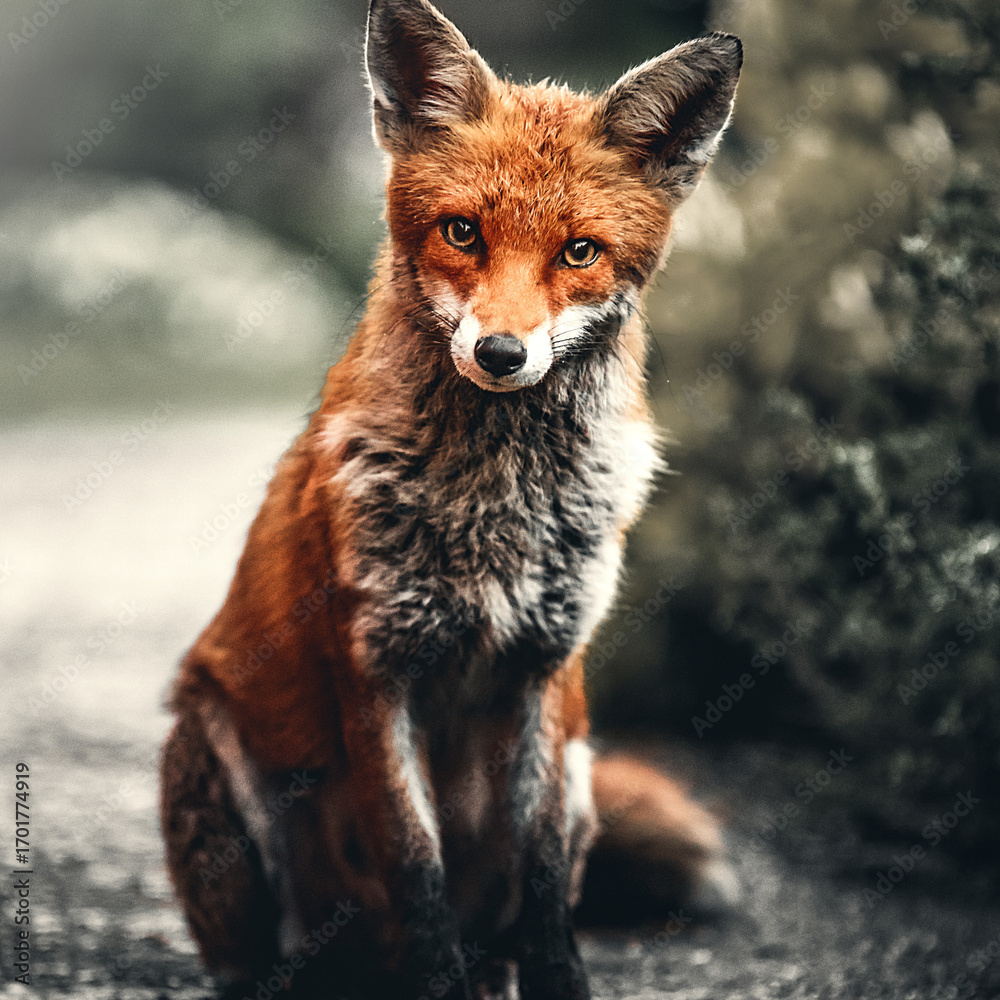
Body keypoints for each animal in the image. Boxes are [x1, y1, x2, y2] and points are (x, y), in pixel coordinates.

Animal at [159, 2, 742, 998]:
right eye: (462, 232)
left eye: (578, 252)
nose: (502, 354)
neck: (494, 509)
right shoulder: (374, 669)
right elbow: (413, 867)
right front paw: (437, 978)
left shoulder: (546, 669)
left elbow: (541, 883)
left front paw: (558, 980)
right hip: (213, 761)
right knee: (282, 955)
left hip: (580, 765)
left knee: (501, 924)